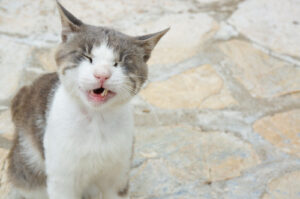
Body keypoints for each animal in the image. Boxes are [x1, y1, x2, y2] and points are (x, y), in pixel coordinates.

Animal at [6, 1, 169, 199]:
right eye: (87, 57)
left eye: (119, 62)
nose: (102, 75)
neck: (96, 121)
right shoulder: (62, 179)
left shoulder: (119, 176)